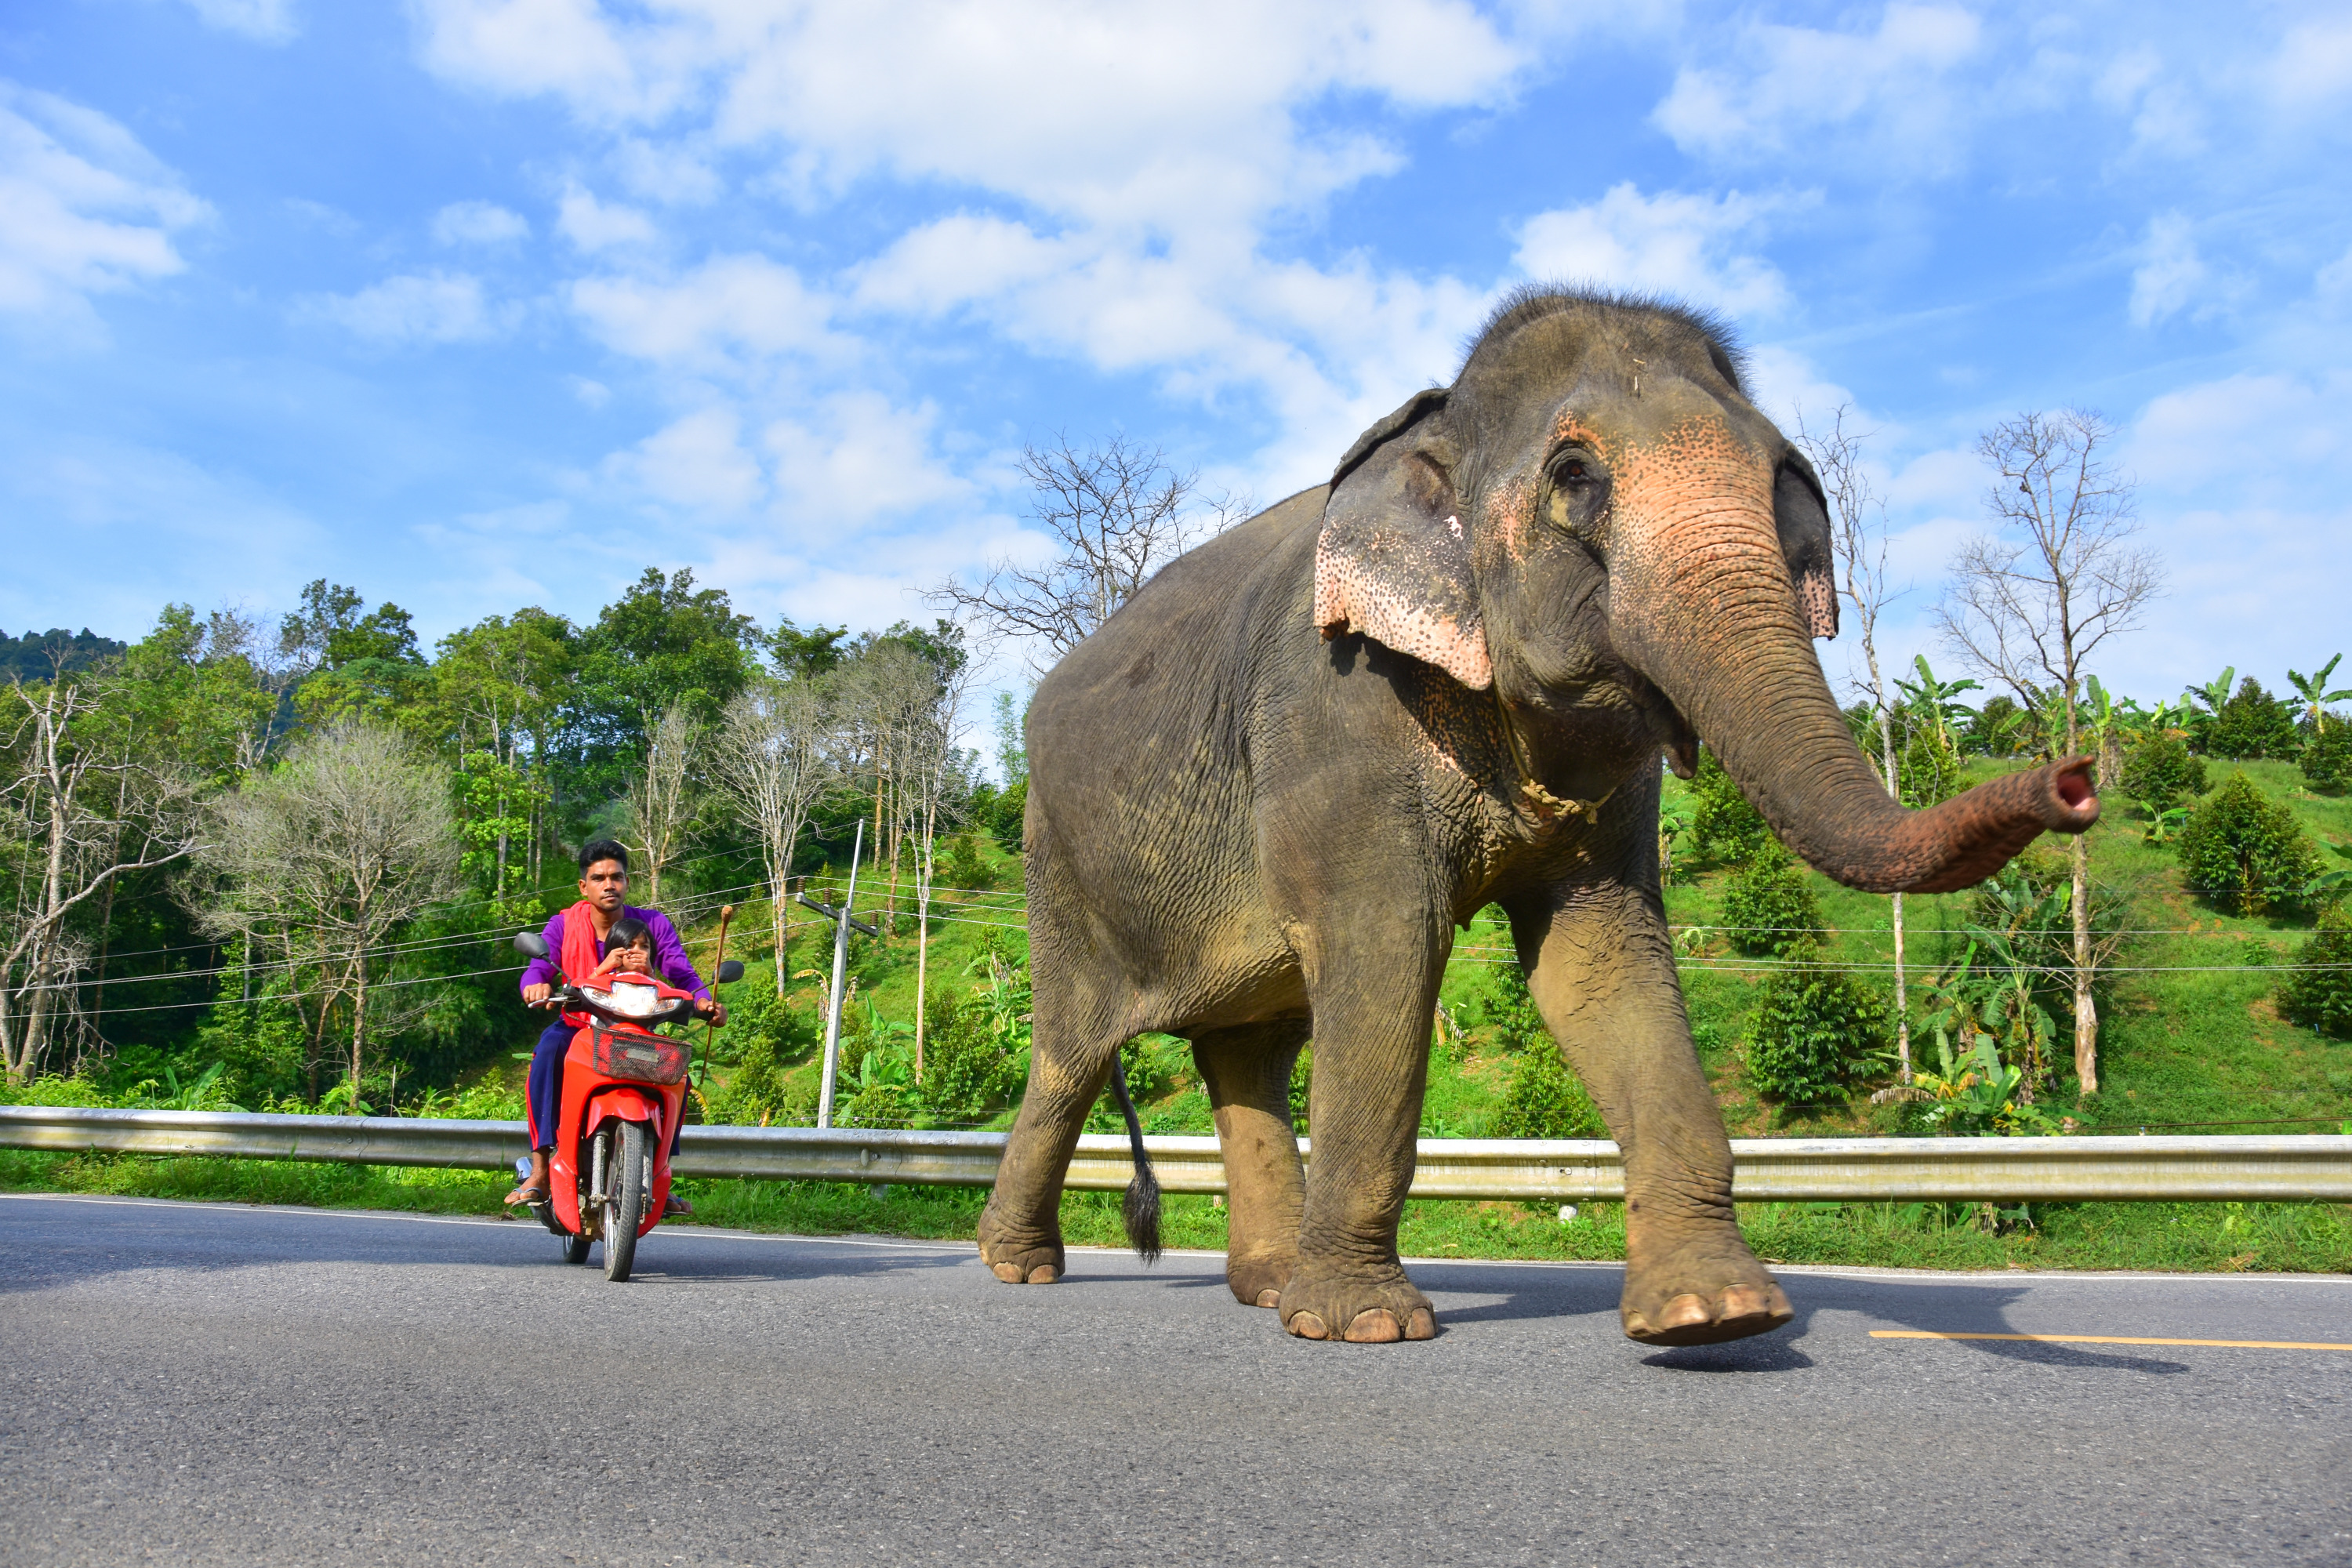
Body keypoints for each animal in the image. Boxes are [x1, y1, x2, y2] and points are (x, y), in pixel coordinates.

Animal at [975, 286, 2098, 1346]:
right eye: (1574, 477)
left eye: (1786, 476)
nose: (2077, 774)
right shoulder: (1334, 710)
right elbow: (1388, 950)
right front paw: (1366, 1324)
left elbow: (1600, 957)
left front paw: (1717, 1314)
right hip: (1057, 871)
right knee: (1071, 1058)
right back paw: (1020, 1268)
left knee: (1248, 1050)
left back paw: (1265, 1286)